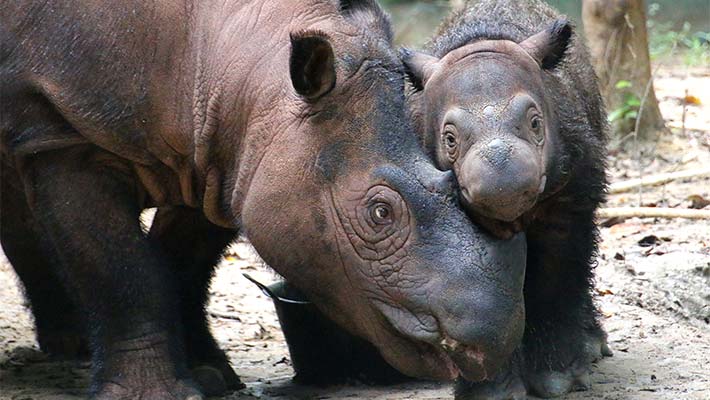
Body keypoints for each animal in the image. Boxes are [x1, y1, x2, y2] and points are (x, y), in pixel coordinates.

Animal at [0, 1, 526, 399]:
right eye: (380, 213)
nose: (493, 341)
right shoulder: (63, 132)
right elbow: (120, 270)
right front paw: (160, 394)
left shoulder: (222, 155)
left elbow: (181, 265)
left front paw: (209, 376)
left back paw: (71, 346)